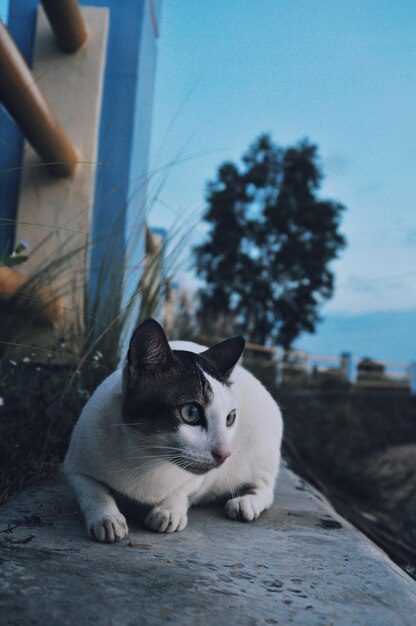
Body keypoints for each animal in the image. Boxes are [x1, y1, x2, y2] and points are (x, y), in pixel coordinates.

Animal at [64, 320, 282, 540]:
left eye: (229, 418)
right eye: (190, 412)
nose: (225, 454)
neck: (145, 455)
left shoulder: (199, 478)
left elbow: (184, 489)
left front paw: (169, 510)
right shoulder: (75, 466)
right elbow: (92, 492)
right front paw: (107, 518)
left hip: (260, 453)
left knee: (265, 487)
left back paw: (246, 502)